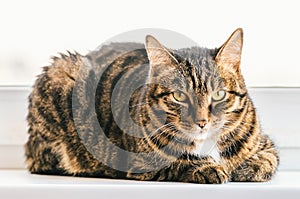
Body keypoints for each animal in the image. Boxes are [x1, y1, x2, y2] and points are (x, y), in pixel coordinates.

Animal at [25, 28, 278, 183]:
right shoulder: (142, 161)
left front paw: (244, 168)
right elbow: (180, 161)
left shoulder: (264, 144)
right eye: (179, 96)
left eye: (219, 94)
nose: (202, 122)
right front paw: (209, 167)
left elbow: (268, 159)